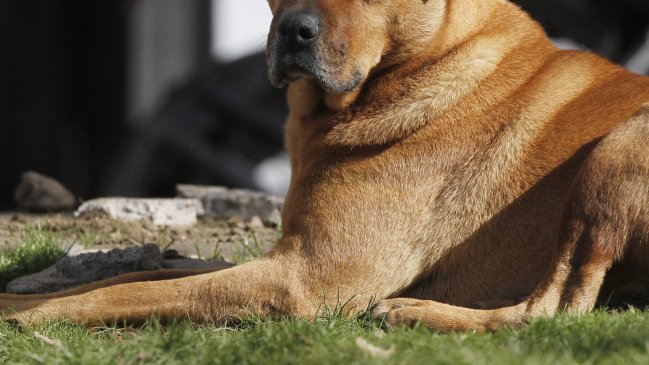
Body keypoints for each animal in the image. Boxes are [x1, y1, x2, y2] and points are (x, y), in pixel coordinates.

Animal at [1, 0, 648, 330]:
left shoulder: (304, 278)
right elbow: (129, 279)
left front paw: (35, 316)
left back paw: (416, 312)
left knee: (553, 311)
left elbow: (121, 295)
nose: (294, 31)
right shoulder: (286, 256)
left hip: (617, 148)